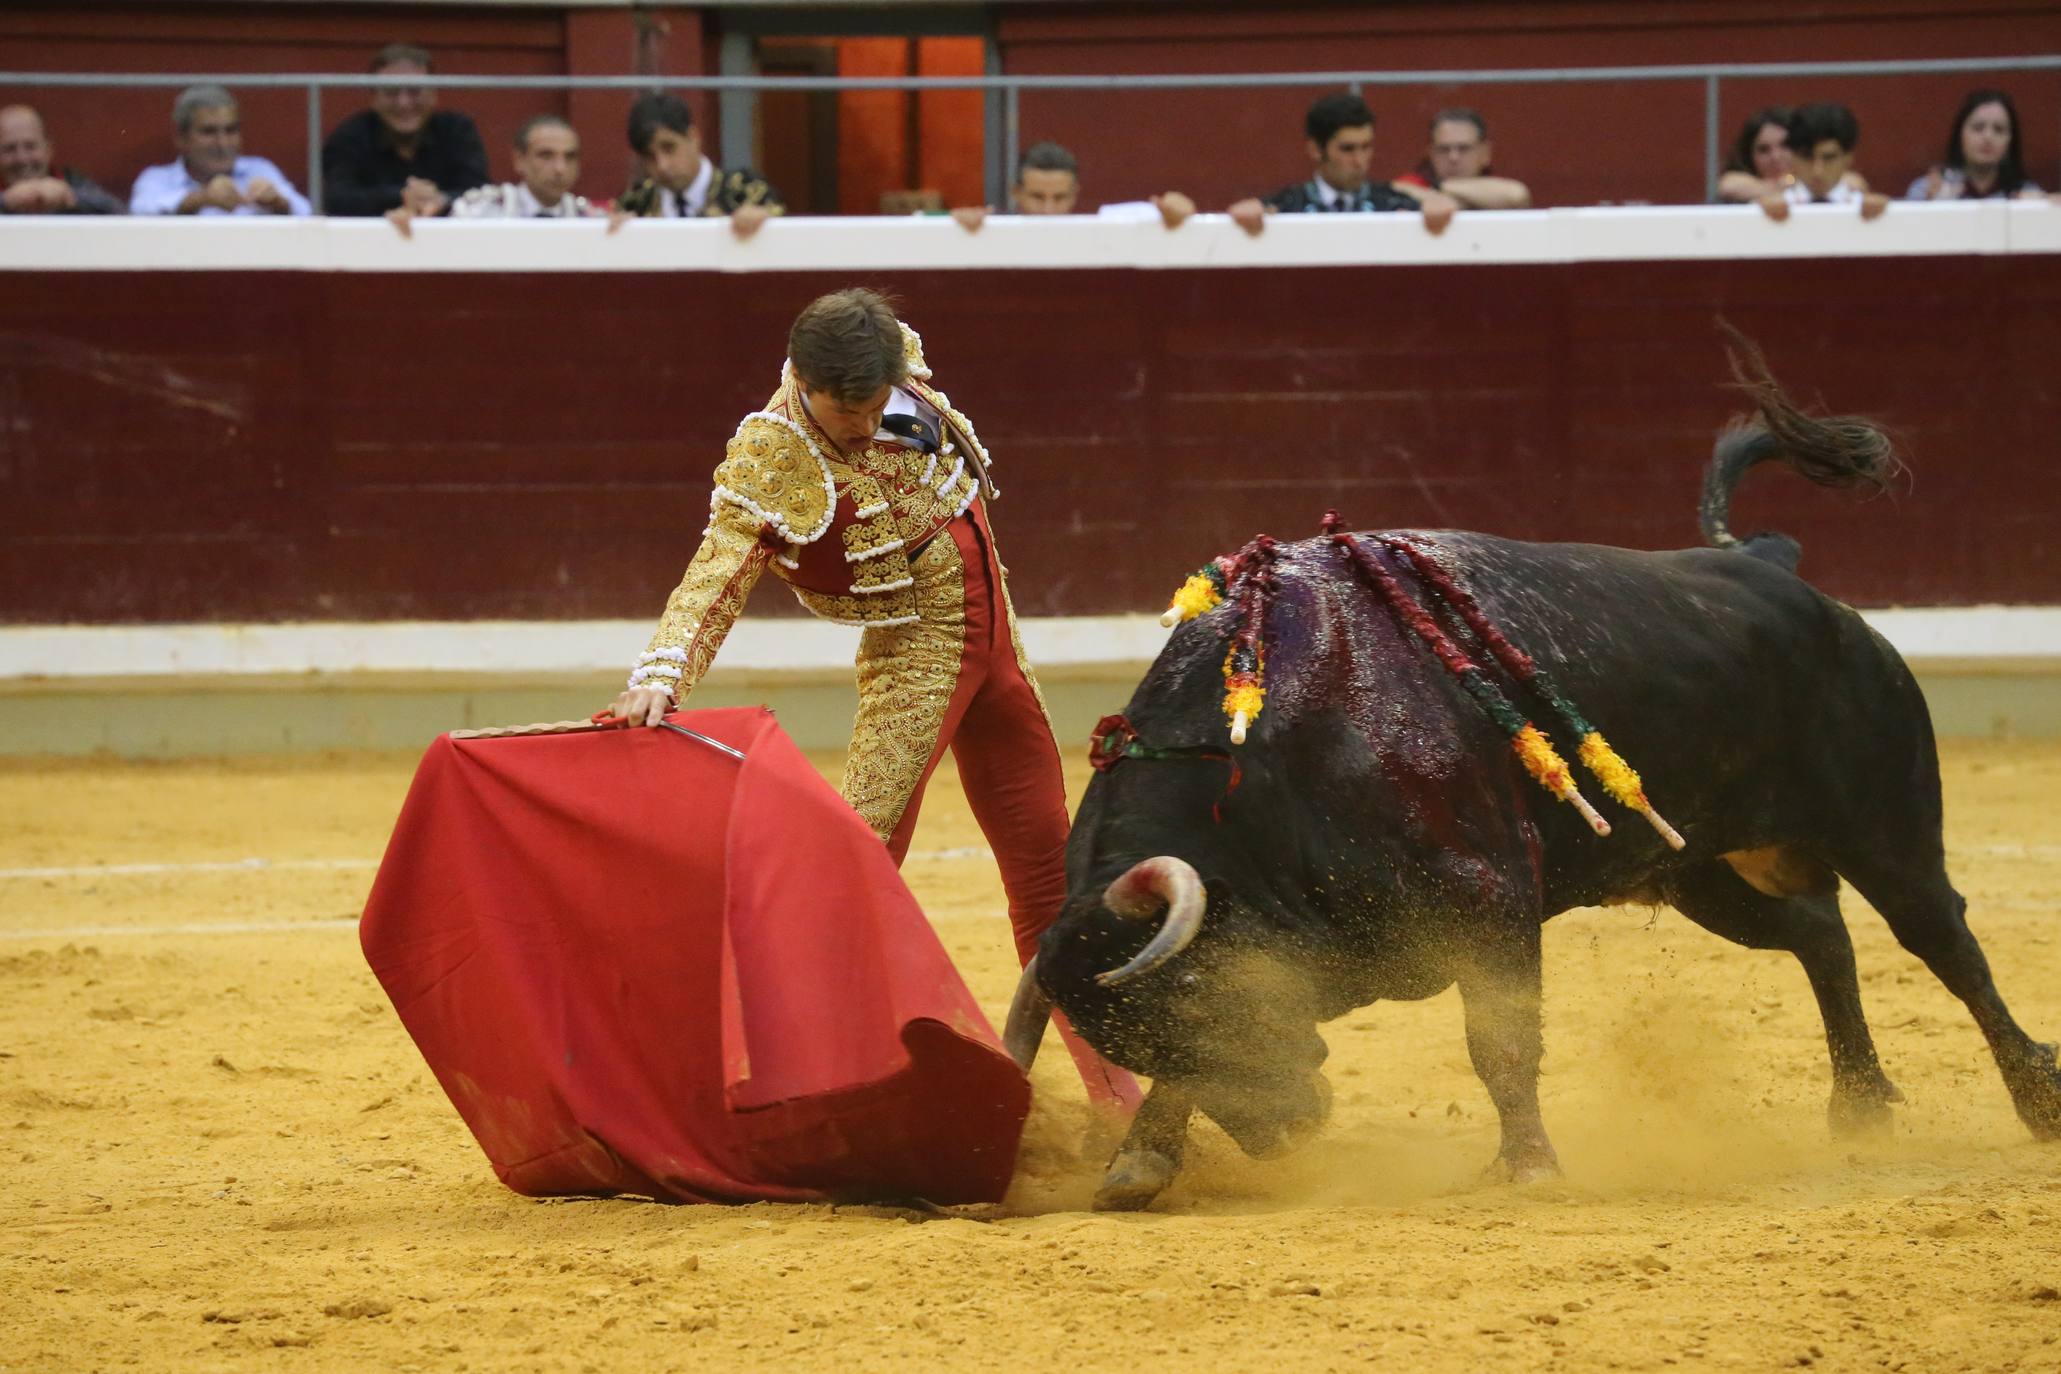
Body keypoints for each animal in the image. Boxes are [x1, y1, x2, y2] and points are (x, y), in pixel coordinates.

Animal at [1001, 333, 2061, 1211]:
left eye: (1196, 1002)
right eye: (1132, 1035)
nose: (1288, 1134)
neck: (1265, 765)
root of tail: (1780, 573)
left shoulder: (1491, 904)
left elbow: (1499, 1042)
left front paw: (1529, 1167)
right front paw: (1138, 1163)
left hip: (1885, 828)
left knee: (1946, 945)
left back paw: (2035, 1100)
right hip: (1700, 870)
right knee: (1819, 937)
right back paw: (1861, 1105)